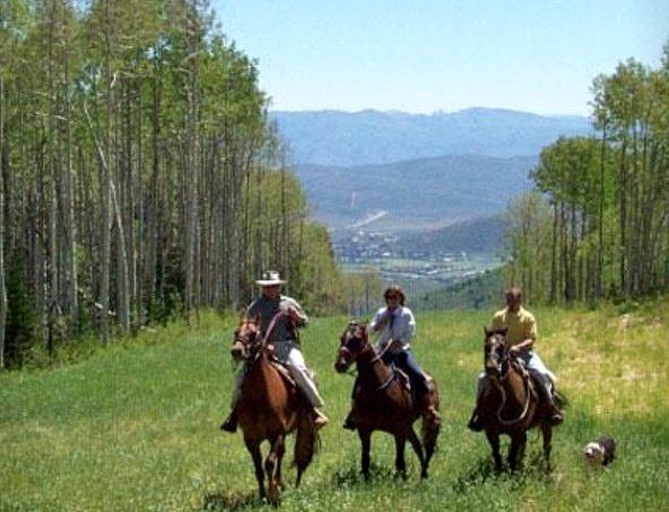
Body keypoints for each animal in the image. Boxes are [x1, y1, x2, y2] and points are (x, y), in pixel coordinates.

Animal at [230, 314, 318, 506]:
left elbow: (269, 463)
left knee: (281, 455)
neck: (259, 397)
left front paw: (273, 496)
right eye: (236, 332)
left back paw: (280, 484)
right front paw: (263, 495)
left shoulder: (276, 433)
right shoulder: (250, 439)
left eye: (253, 334)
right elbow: (258, 467)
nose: (236, 351)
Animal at [332, 320, 438, 480]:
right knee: (417, 446)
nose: (340, 364)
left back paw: (424, 474)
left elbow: (400, 461)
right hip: (409, 427)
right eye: (341, 337)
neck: (377, 389)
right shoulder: (364, 429)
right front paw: (365, 479)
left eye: (357, 339)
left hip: (426, 421)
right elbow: (365, 459)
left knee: (426, 446)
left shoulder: (399, 430)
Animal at [478, 328, 556, 472]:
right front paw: (499, 472)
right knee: (524, 444)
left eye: (502, 346)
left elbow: (511, 456)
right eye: (486, 346)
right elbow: (497, 454)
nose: (491, 368)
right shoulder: (491, 431)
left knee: (547, 446)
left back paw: (546, 470)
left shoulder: (516, 431)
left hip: (546, 423)